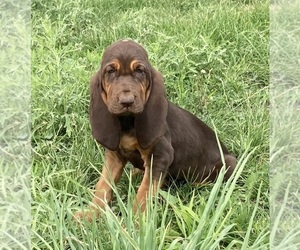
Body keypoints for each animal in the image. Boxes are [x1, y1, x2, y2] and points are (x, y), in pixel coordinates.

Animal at [73, 38, 237, 221]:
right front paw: (90, 214)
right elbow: (102, 186)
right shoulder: (114, 156)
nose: (127, 101)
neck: (128, 122)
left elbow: (142, 195)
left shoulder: (159, 157)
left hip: (228, 164)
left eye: (140, 71)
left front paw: (134, 224)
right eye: (110, 71)